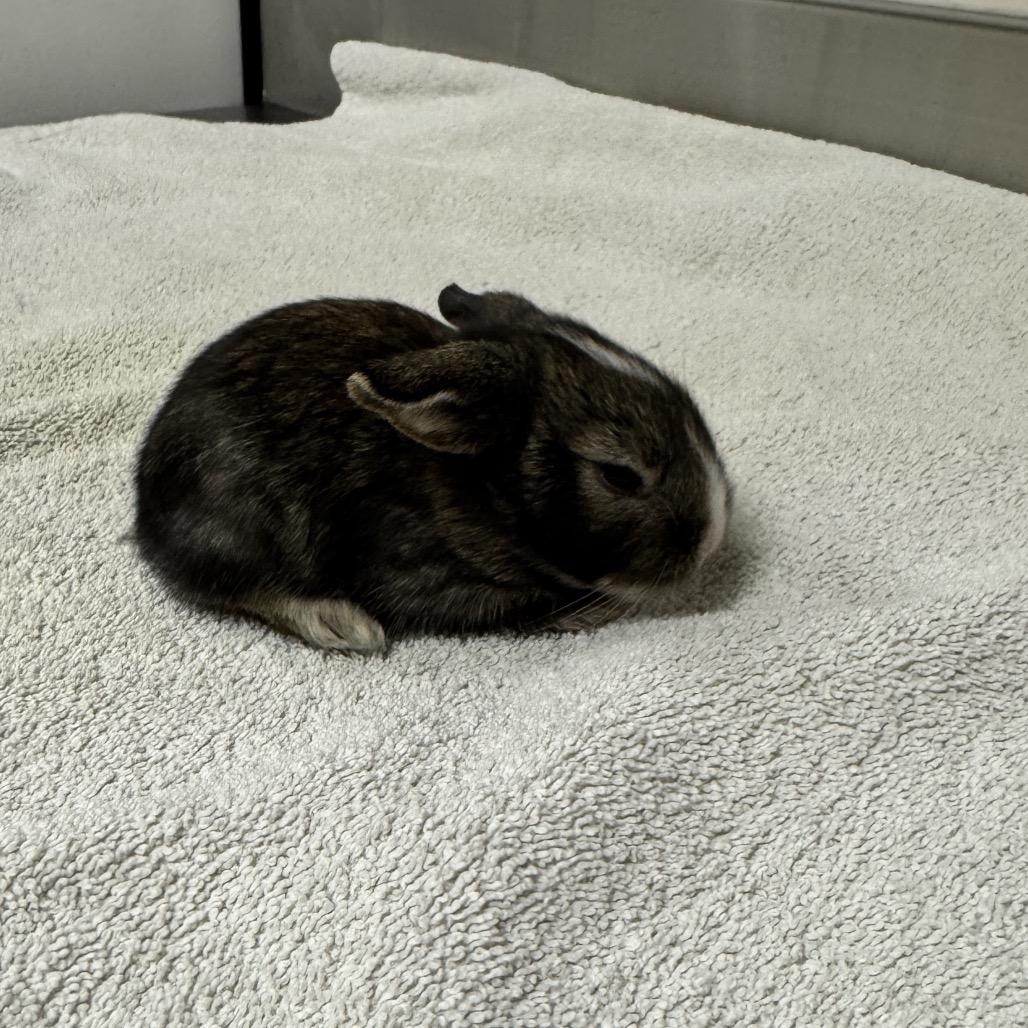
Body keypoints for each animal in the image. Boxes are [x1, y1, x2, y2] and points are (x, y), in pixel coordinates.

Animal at [133, 284, 731, 653]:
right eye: (619, 476)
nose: (713, 541)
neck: (482, 489)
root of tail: (145, 512)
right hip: (246, 528)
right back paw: (342, 624)